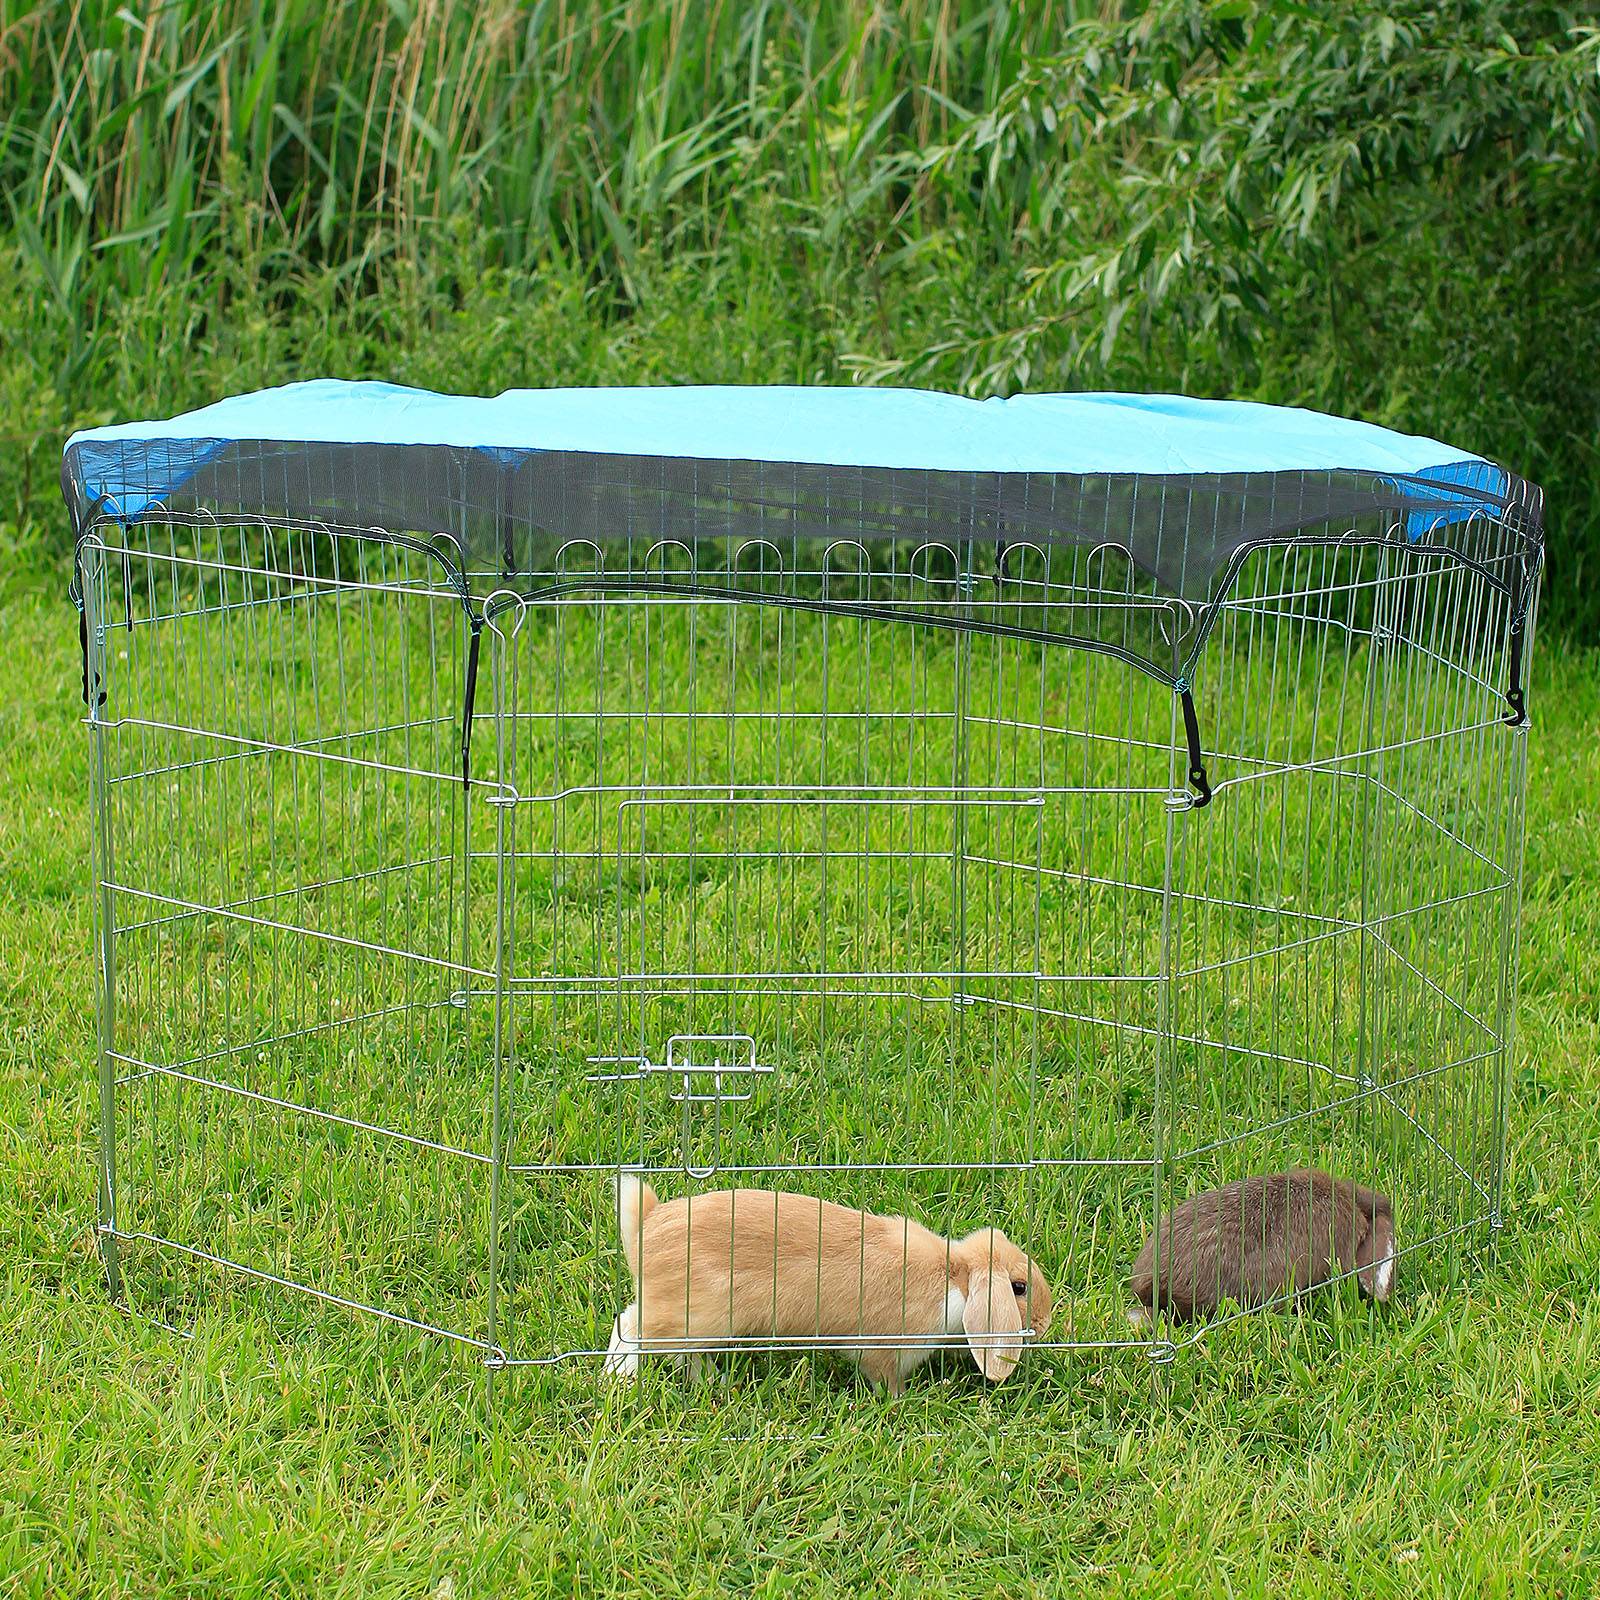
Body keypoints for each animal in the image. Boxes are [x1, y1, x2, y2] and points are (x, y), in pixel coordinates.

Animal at [603, 1175, 1053, 1393]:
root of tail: (645, 1228)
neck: (953, 1278)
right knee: (630, 1326)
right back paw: (620, 1379)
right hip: (693, 1316)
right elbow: (885, 1380)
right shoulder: (885, 1348)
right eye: (1019, 1288)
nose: (1045, 1325)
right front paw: (900, 1402)